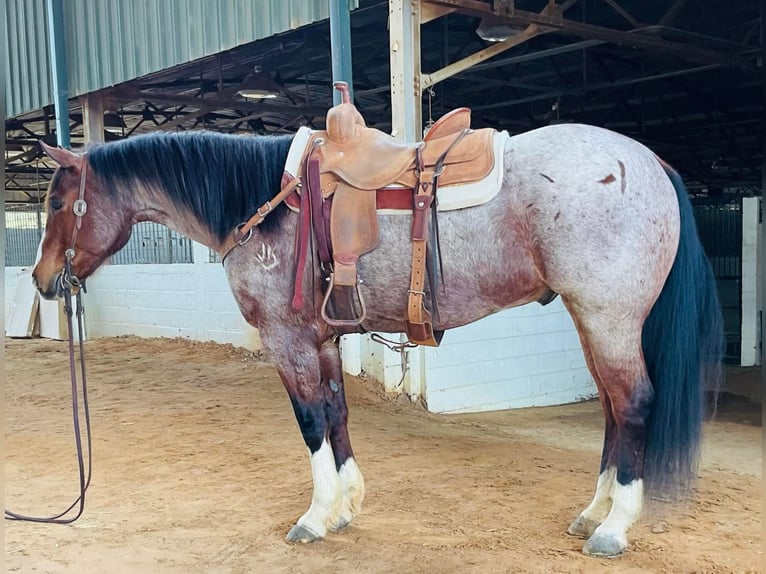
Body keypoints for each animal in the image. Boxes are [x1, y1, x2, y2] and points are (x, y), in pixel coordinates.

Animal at [33, 112, 724, 560]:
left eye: (56, 204)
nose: (41, 281)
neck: (266, 203)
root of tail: (650, 162)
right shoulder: (321, 340)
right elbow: (337, 416)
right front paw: (345, 507)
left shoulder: (286, 341)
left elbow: (311, 421)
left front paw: (315, 517)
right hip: (592, 322)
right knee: (610, 408)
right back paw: (593, 513)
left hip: (608, 318)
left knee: (632, 404)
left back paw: (615, 529)